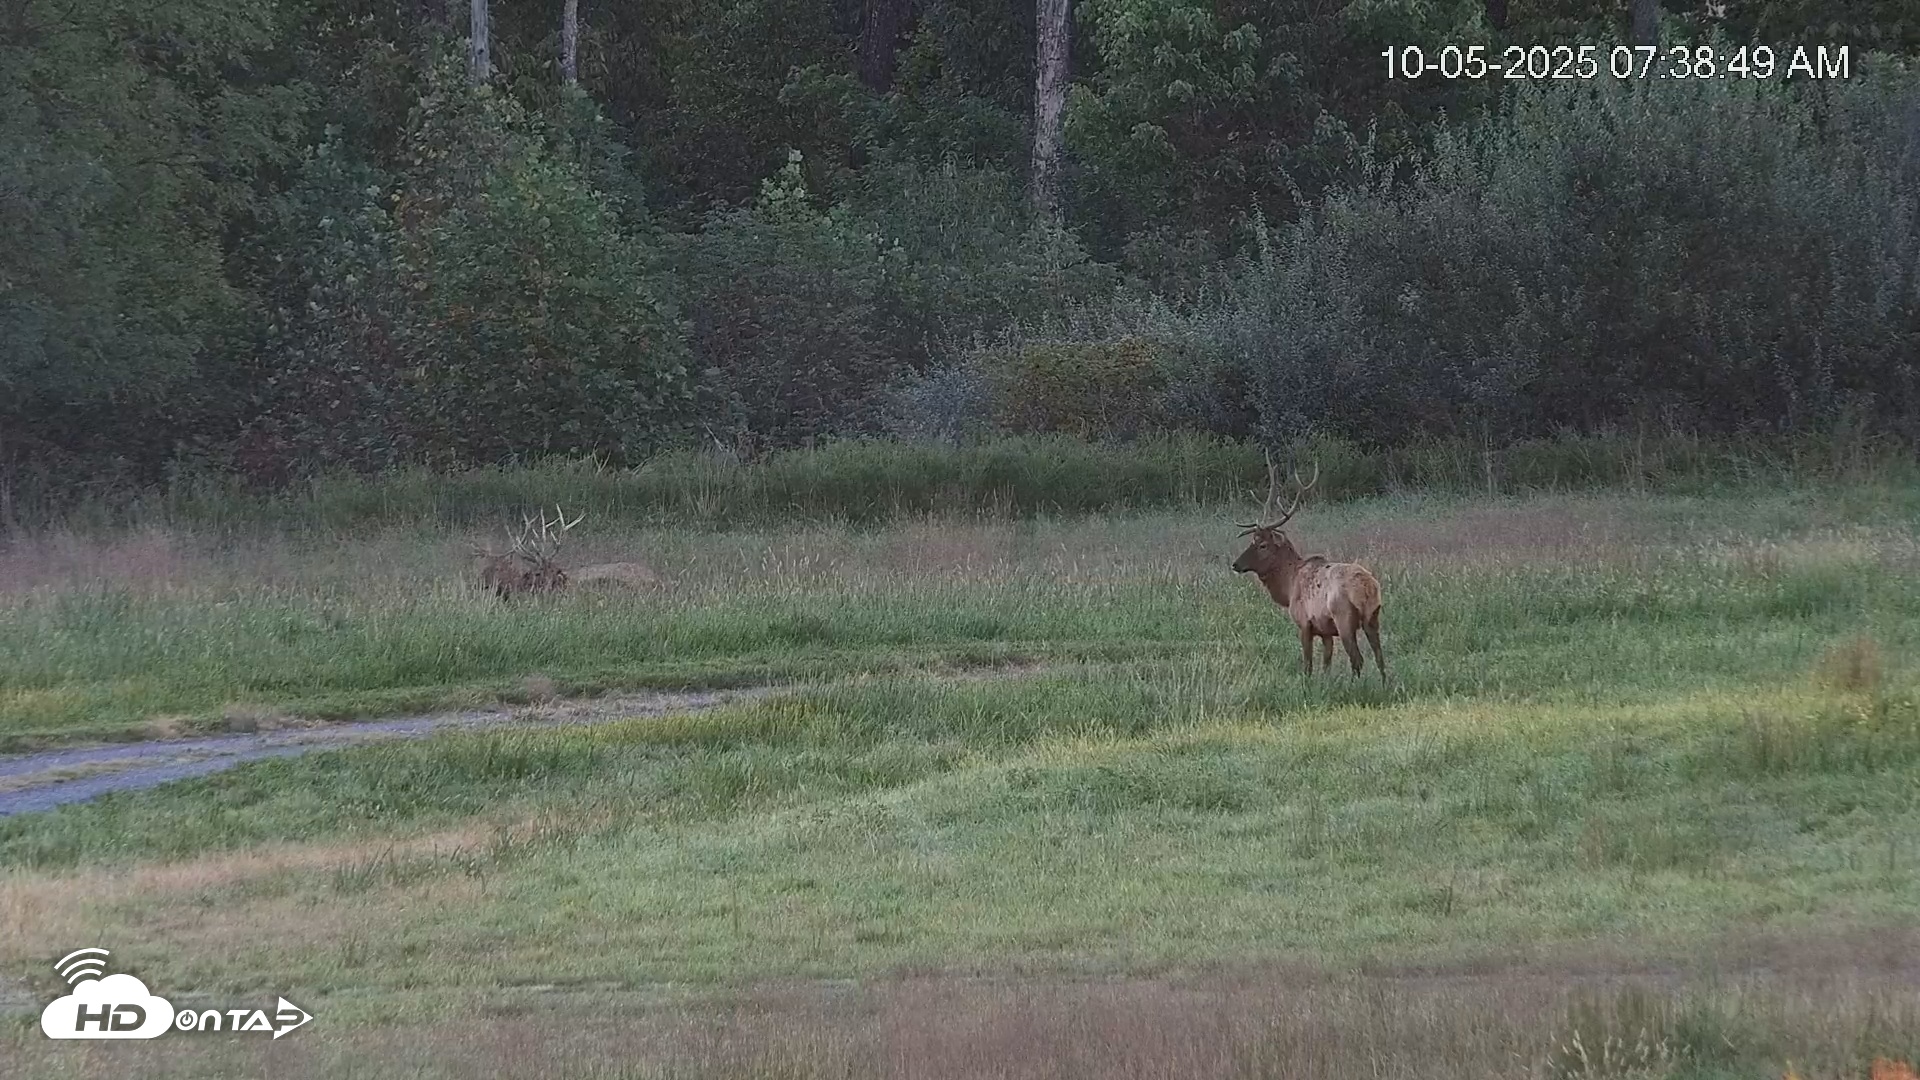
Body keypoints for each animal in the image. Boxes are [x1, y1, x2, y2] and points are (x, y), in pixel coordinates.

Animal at [1231, 453, 1387, 682]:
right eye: (1251, 540)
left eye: (1262, 544)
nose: (1235, 564)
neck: (1288, 587)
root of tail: (1368, 588)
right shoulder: (1325, 631)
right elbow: (1326, 663)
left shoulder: (1304, 623)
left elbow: (1308, 664)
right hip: (1373, 617)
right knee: (1379, 657)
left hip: (1344, 617)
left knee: (1357, 659)